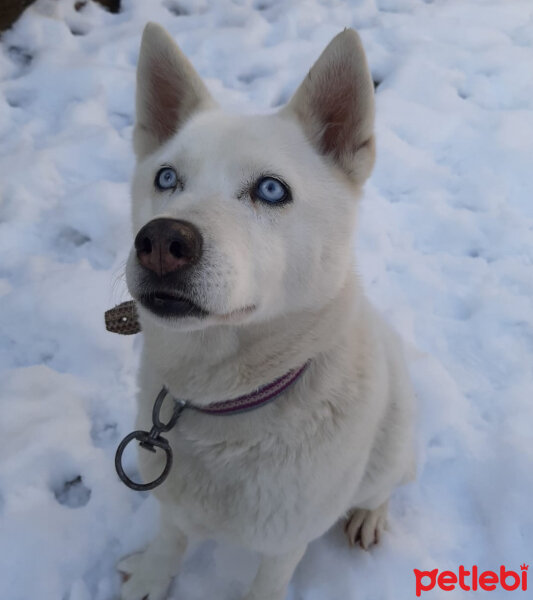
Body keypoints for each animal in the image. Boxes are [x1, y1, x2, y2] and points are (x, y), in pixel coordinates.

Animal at [118, 22, 414, 600]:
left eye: (271, 189)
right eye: (166, 178)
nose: (161, 242)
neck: (224, 404)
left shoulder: (285, 542)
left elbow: (267, 584)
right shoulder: (172, 500)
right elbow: (168, 540)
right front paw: (149, 578)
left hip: (390, 447)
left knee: (386, 484)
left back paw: (368, 515)